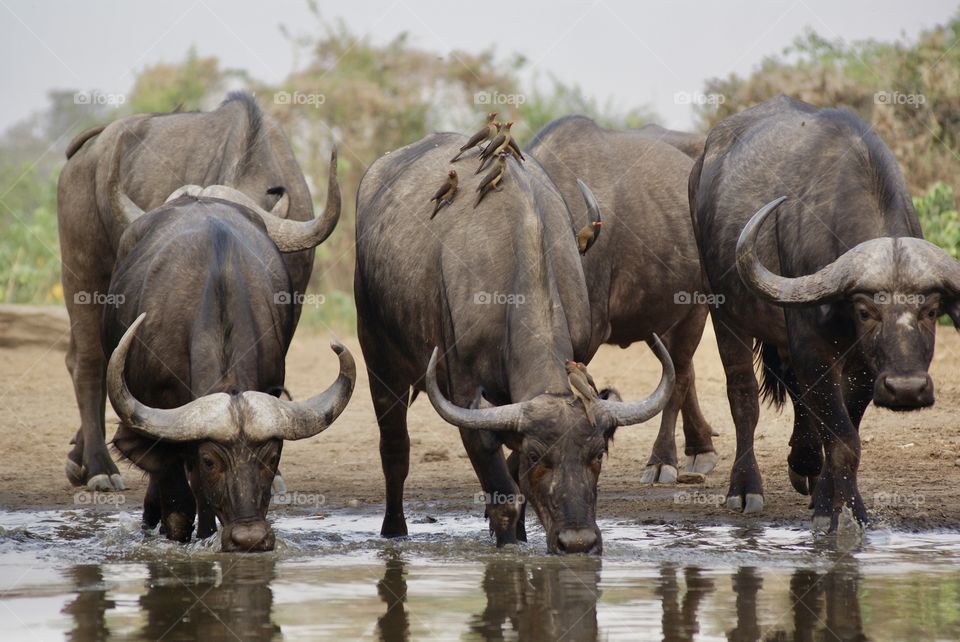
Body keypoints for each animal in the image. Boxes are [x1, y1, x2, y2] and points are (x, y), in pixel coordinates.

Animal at [354, 132, 676, 552]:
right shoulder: (465, 396)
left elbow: (515, 478)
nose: (577, 542)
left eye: (598, 454)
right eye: (538, 456)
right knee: (395, 449)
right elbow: (503, 495)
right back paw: (394, 531)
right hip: (378, 356)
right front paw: (508, 542)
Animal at [528, 117, 716, 482]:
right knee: (684, 374)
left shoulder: (588, 338)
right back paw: (700, 448)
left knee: (680, 377)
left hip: (695, 308)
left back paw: (662, 460)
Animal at [688, 94, 960, 524]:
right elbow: (843, 436)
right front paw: (841, 511)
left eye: (932, 311)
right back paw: (746, 487)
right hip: (725, 313)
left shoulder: (863, 365)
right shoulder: (812, 345)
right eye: (865, 311)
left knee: (798, 395)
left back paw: (806, 468)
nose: (906, 389)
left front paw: (832, 498)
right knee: (743, 396)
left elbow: (843, 425)